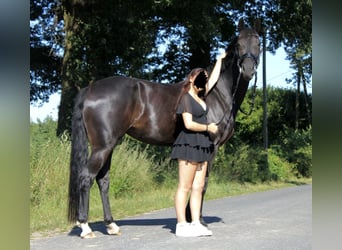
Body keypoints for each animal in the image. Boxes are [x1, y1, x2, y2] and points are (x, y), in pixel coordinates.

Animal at [69, 18, 262, 237]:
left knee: (103, 180)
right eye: (238, 44)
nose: (248, 69)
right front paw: (198, 220)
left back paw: (111, 225)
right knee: (86, 178)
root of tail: (90, 89)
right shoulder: (211, 147)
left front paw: (190, 218)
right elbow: (202, 184)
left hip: (108, 145)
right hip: (102, 147)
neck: (215, 93)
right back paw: (85, 227)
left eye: (258, 43)